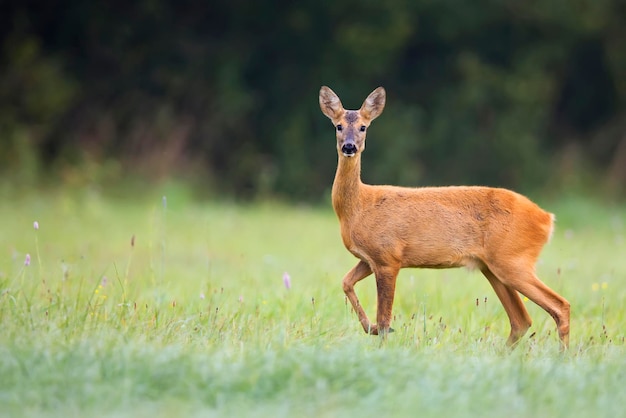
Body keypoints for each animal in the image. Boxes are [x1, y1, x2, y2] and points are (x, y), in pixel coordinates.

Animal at [320, 85, 568, 350]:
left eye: (363, 127)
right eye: (338, 126)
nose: (349, 147)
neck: (358, 206)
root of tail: (547, 219)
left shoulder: (388, 256)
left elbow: (385, 317)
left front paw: (381, 343)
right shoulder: (370, 259)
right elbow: (346, 282)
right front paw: (370, 328)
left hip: (514, 260)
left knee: (560, 306)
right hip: (494, 267)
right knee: (521, 320)